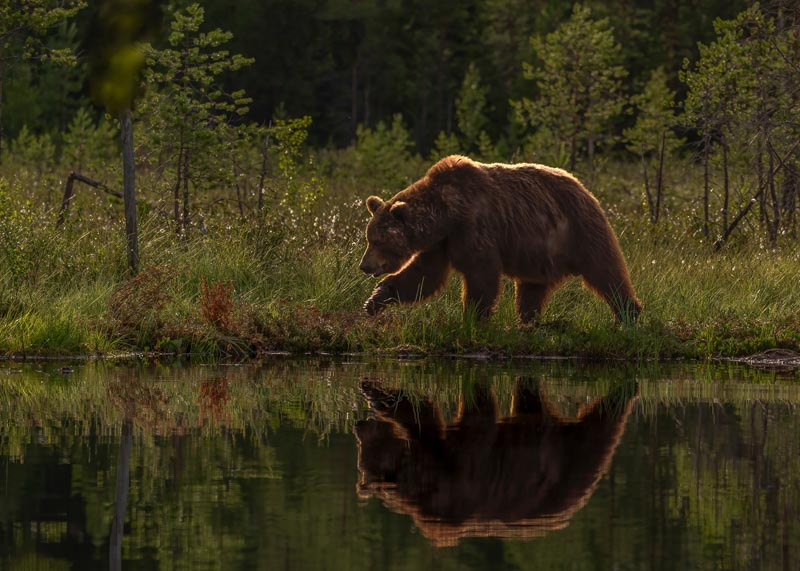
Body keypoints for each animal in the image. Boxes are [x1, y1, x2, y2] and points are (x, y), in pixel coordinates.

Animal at [359, 155, 641, 322]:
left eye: (378, 241)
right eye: (369, 238)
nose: (364, 266)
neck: (446, 215)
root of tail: (585, 188)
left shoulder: (473, 226)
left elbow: (481, 274)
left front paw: (473, 318)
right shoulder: (441, 243)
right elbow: (424, 276)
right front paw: (375, 299)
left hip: (580, 230)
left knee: (605, 272)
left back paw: (629, 313)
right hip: (539, 255)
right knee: (531, 289)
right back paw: (526, 321)